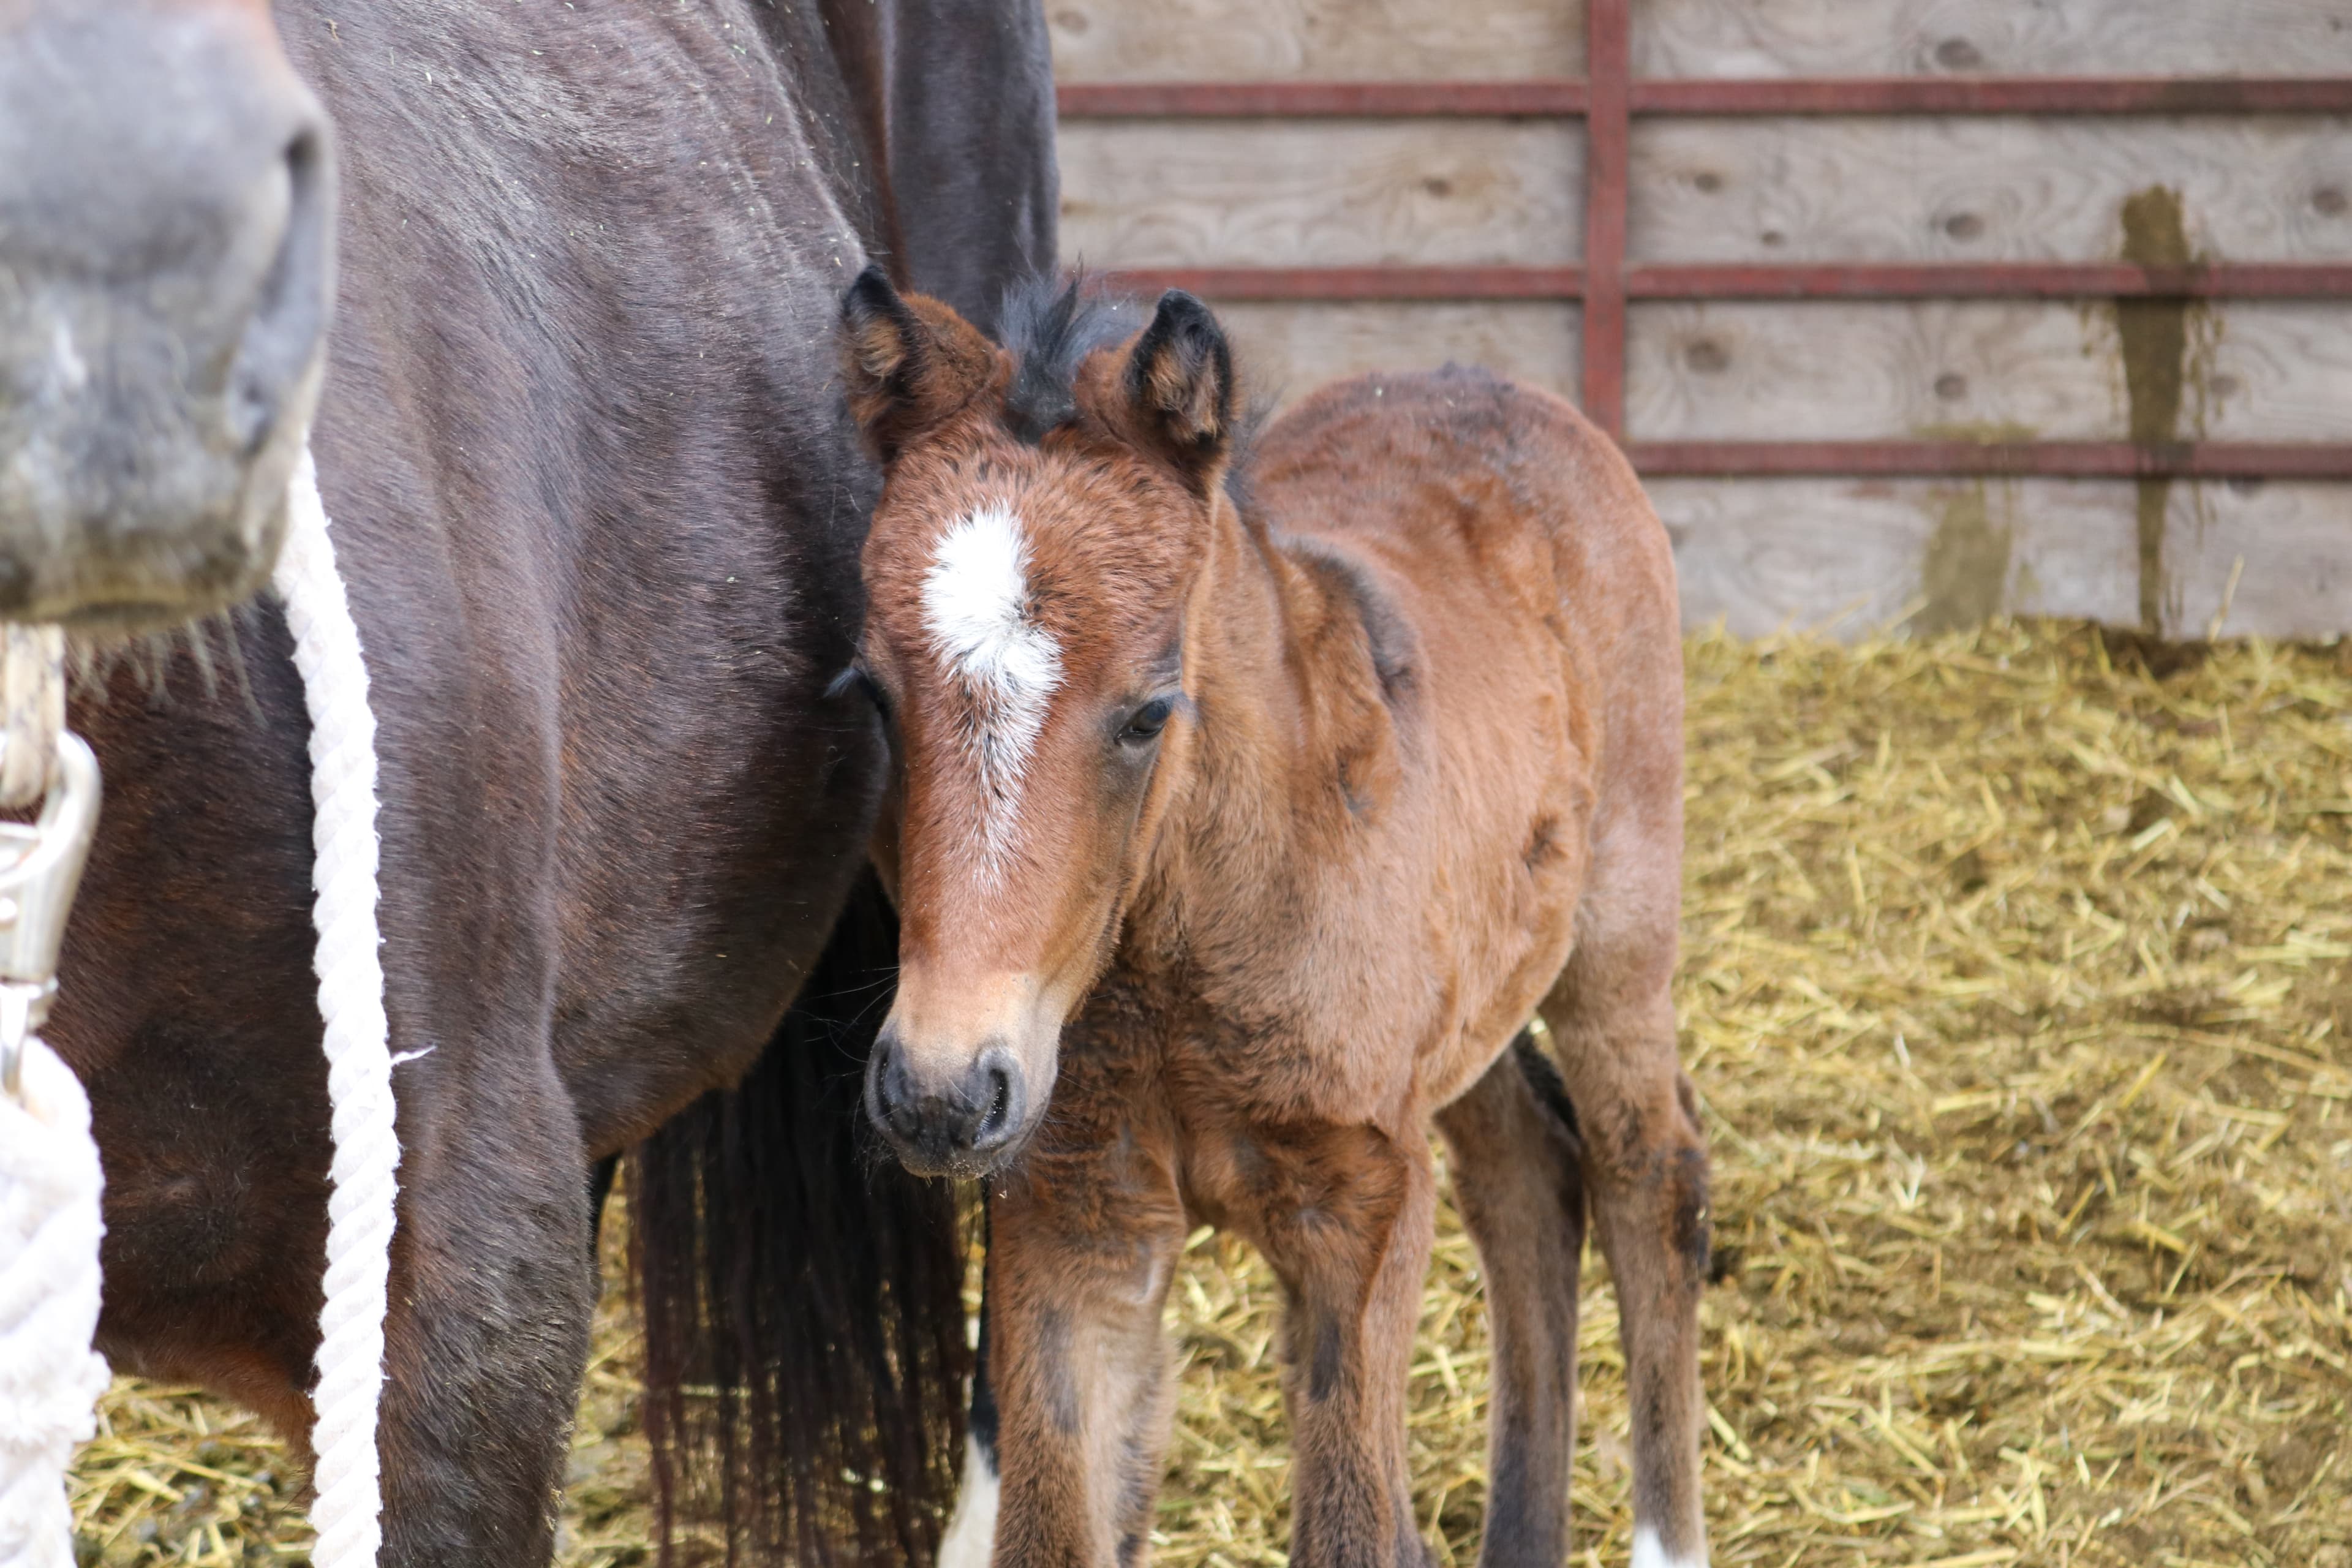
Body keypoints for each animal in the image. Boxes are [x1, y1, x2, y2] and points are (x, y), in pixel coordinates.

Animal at [833, 270, 1712, 1568]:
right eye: (873, 696)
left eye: (1150, 711)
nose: (940, 1094)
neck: (1180, 962)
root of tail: (1486, 379)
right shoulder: (1073, 1217)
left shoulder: (1360, 1211)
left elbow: (1352, 1527)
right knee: (1528, 1172)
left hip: (1619, 937)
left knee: (1649, 1176)